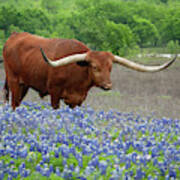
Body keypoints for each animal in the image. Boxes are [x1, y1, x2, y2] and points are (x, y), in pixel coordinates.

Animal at [2, 32, 176, 109]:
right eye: (94, 67)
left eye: (110, 68)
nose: (108, 86)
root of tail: (14, 35)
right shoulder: (55, 93)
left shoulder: (77, 100)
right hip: (13, 81)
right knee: (13, 103)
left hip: (24, 84)